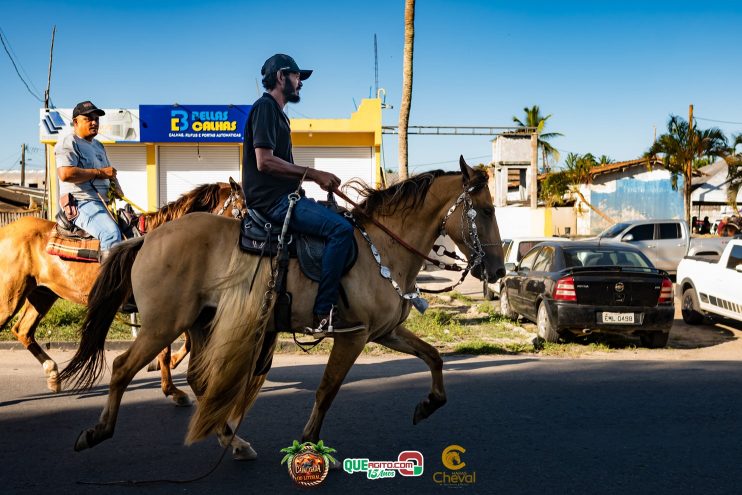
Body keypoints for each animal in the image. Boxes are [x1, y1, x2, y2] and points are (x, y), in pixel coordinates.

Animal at [0, 178, 247, 404]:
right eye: (243, 211)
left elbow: (181, 343)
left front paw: (169, 378)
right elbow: (169, 347)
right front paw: (172, 387)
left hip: (43, 294)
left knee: (22, 330)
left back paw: (53, 375)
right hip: (11, 297)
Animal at [62, 159, 506, 458]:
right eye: (486, 210)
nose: (499, 270)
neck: (380, 248)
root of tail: (146, 239)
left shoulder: (385, 331)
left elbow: (433, 357)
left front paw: (429, 403)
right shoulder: (355, 335)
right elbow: (327, 389)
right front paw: (309, 443)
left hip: (200, 323)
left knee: (201, 381)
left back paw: (232, 438)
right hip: (164, 324)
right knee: (123, 368)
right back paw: (98, 431)